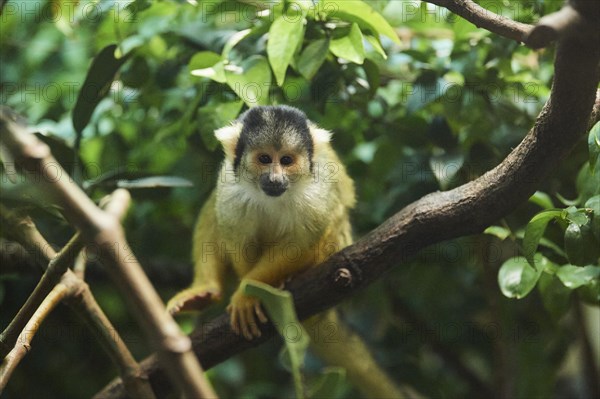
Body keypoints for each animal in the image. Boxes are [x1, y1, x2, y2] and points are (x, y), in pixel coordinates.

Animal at [168, 104, 356, 340]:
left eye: (286, 161)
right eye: (265, 159)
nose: (275, 179)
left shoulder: (317, 191)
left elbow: (300, 243)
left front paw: (247, 293)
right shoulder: (230, 185)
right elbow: (236, 236)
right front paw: (249, 291)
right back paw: (204, 289)